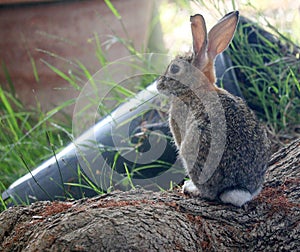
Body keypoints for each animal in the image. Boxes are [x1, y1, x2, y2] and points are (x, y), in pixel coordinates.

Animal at [156, 10, 270, 207]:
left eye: (174, 69)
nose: (158, 84)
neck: (198, 87)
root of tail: (236, 189)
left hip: (192, 150)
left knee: (209, 193)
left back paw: (191, 188)